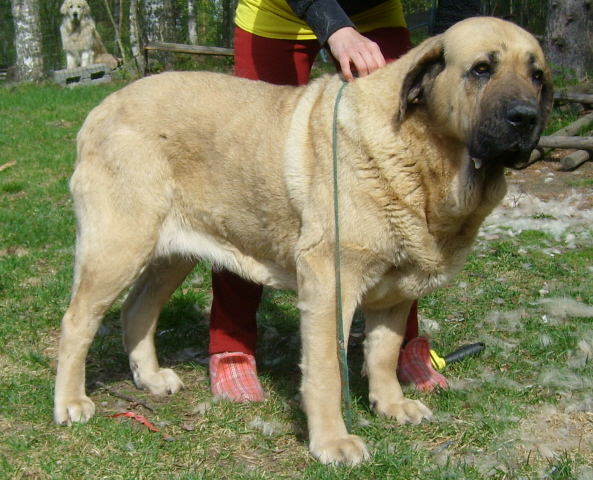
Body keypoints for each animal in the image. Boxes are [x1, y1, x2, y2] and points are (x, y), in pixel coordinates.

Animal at [54, 17, 552, 464]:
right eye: (481, 69)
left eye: (537, 75)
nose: (526, 118)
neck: (423, 157)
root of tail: (101, 108)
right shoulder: (331, 283)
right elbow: (327, 370)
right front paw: (333, 442)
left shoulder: (396, 289)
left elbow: (384, 353)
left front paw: (391, 405)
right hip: (119, 246)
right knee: (77, 321)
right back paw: (71, 402)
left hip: (170, 254)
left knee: (137, 310)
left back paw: (152, 378)